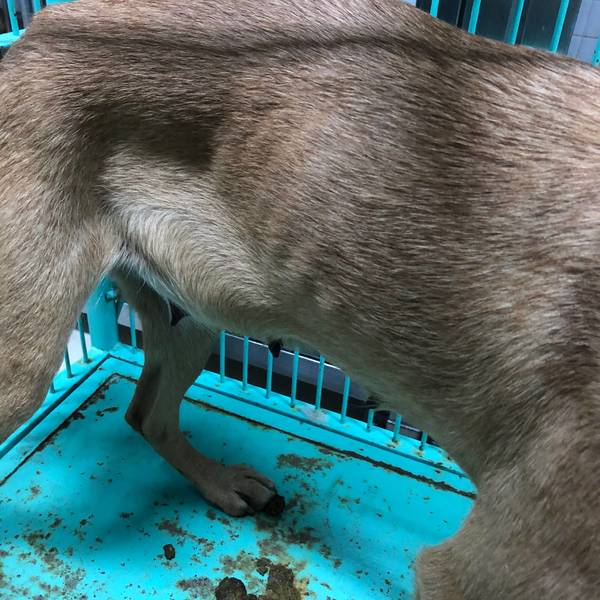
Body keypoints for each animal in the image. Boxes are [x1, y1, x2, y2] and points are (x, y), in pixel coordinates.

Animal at [1, 1, 598, 598]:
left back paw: (219, 481)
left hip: (192, 320)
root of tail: (38, 29)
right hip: (24, 366)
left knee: (149, 415)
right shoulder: (481, 568)